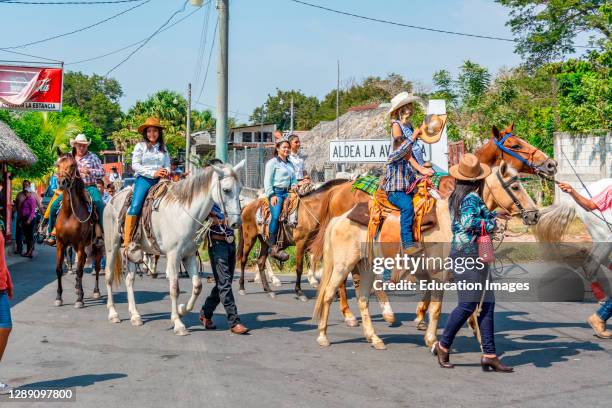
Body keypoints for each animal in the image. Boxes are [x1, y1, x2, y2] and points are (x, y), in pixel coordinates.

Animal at [53, 154, 103, 310]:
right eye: (58, 165)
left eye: (72, 165)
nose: (62, 182)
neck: (70, 213)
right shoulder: (61, 244)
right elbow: (59, 270)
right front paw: (59, 298)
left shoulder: (80, 245)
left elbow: (80, 271)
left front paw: (79, 299)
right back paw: (76, 288)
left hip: (96, 248)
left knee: (97, 268)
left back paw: (96, 291)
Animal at [103, 161, 244, 336]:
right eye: (226, 190)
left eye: (240, 189)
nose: (236, 223)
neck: (183, 213)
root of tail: (112, 199)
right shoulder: (173, 255)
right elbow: (174, 288)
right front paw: (178, 323)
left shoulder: (189, 255)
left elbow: (197, 286)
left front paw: (182, 309)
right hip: (112, 247)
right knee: (109, 277)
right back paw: (113, 313)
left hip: (133, 253)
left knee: (130, 280)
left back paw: (135, 316)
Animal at [314, 163, 536, 350]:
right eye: (515, 186)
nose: (534, 214)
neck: (452, 221)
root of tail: (340, 218)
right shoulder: (439, 275)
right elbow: (436, 308)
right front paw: (432, 340)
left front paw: (480, 337)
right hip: (343, 266)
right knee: (329, 294)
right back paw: (324, 336)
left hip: (366, 267)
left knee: (362, 299)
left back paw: (374, 338)